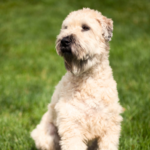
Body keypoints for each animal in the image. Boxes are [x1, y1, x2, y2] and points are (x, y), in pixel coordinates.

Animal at [30, 7, 123, 149]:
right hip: (45, 135)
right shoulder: (71, 126)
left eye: (85, 27)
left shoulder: (109, 126)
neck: (88, 80)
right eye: (65, 27)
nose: (64, 41)